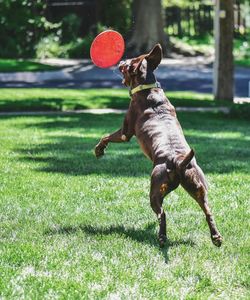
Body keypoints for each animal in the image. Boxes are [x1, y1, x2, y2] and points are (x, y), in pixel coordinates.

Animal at [94, 43, 223, 247]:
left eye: (129, 62)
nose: (122, 59)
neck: (148, 88)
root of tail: (178, 162)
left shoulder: (125, 133)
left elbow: (106, 136)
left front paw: (99, 150)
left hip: (155, 189)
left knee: (162, 214)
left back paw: (162, 238)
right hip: (198, 188)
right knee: (208, 211)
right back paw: (216, 237)